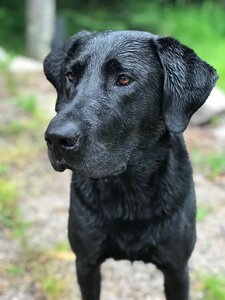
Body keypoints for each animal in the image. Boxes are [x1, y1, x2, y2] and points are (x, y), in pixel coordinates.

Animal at [44, 31, 218, 300]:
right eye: (70, 76)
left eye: (124, 79)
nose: (56, 138)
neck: (129, 190)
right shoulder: (86, 262)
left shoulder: (177, 268)